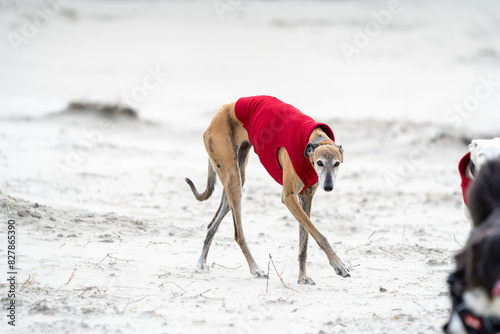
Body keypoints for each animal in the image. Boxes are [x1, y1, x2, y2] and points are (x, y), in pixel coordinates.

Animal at [186, 94, 350, 284]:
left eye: (337, 164)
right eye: (320, 163)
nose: (328, 186)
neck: (313, 141)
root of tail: (221, 110)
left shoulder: (306, 198)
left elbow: (305, 240)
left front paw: (302, 277)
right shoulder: (289, 197)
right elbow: (319, 234)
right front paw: (339, 265)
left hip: (235, 179)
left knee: (212, 224)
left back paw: (202, 261)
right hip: (233, 179)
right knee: (238, 233)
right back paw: (255, 268)